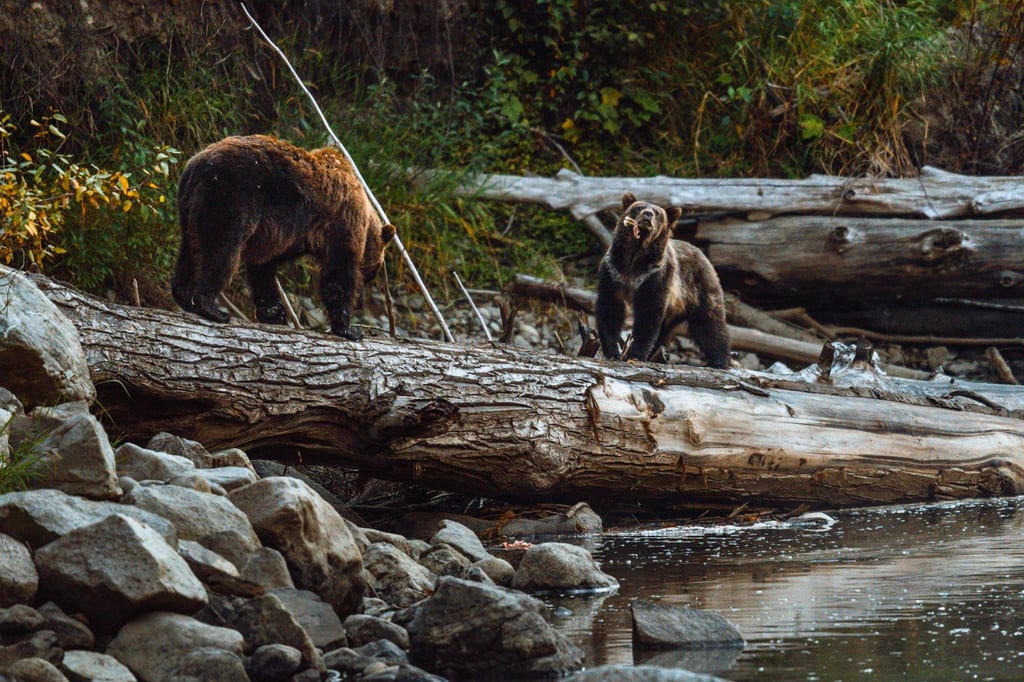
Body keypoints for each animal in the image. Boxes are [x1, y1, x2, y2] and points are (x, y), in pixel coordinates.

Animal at [171, 134, 395, 340]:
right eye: (375, 271)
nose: (361, 303)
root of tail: (199, 163)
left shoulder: (281, 235)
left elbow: (262, 269)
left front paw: (274, 313)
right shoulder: (341, 222)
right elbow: (338, 273)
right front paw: (349, 329)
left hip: (189, 206)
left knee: (189, 251)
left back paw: (183, 296)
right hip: (231, 196)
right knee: (221, 251)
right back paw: (212, 308)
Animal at [596, 192, 731, 368]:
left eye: (658, 213)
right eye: (638, 207)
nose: (648, 214)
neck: (634, 259)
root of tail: (702, 253)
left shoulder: (655, 276)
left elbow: (648, 313)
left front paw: (634, 355)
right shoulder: (613, 272)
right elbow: (609, 308)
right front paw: (612, 352)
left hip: (698, 287)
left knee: (710, 322)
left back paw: (719, 360)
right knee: (664, 332)